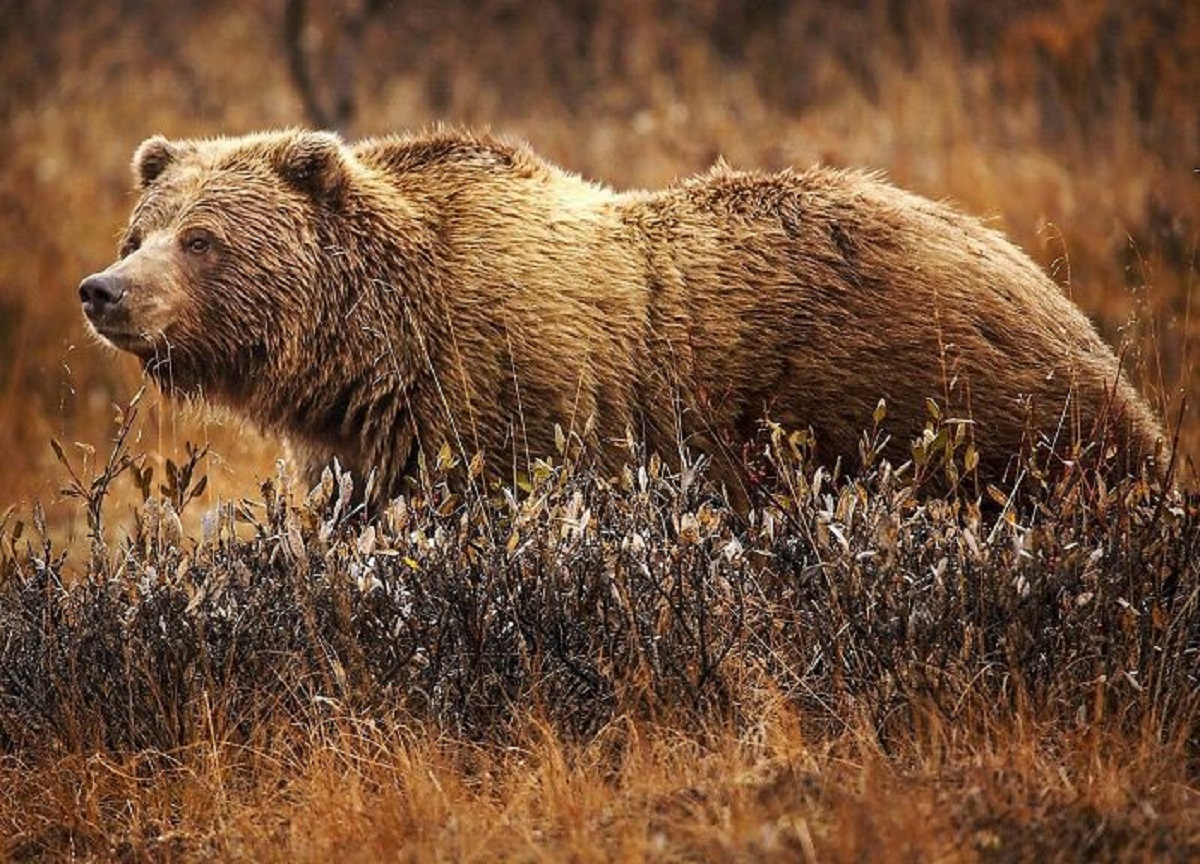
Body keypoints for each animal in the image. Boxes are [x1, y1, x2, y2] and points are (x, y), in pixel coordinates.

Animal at [77, 128, 1161, 499]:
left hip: (946, 408)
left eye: (203, 239)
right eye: (140, 230)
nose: (103, 291)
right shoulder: (366, 443)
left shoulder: (511, 400)